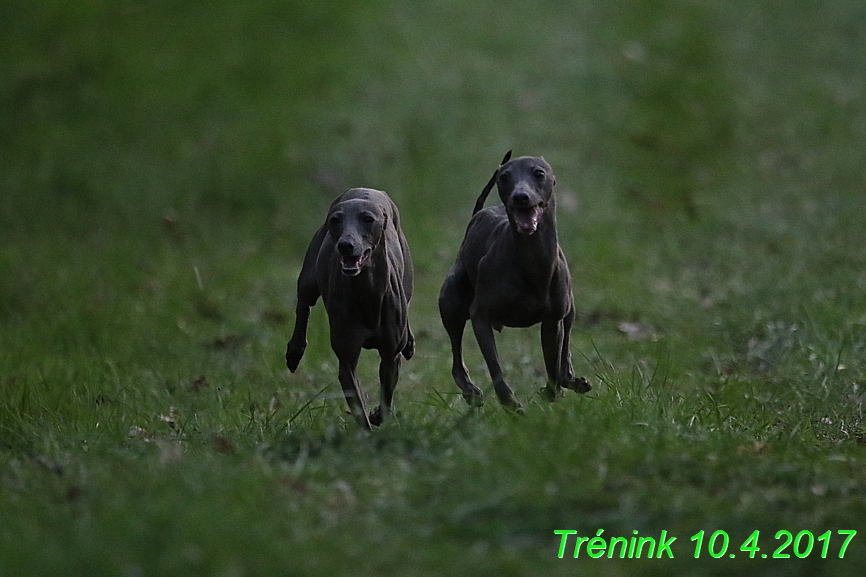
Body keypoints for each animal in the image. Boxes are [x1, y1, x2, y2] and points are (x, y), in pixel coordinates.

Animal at [286, 187, 414, 430]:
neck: (367, 294)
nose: (345, 245)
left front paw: (377, 415)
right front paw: (368, 427)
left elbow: (386, 395)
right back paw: (294, 351)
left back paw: (410, 343)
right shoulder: (346, 361)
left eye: (368, 219)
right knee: (303, 305)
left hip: (407, 280)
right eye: (335, 220)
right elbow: (358, 404)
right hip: (309, 279)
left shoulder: (390, 356)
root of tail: (365, 189)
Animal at [438, 151, 588, 412]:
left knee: (564, 353)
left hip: (568, 311)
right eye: (505, 177)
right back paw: (470, 391)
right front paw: (511, 403)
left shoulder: (552, 321)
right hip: (451, 304)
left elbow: (553, 367)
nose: (520, 197)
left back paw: (571, 379)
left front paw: (551, 392)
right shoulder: (480, 317)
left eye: (539, 173)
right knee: (457, 358)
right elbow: (495, 367)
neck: (532, 262)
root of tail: (478, 214)